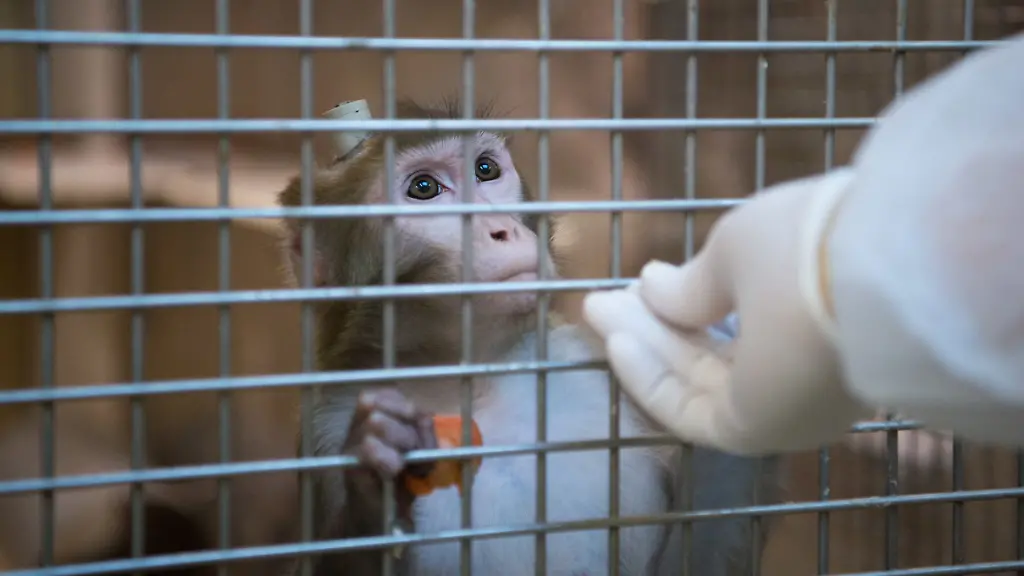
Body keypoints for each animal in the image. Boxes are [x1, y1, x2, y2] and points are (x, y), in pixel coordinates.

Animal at [276, 98, 780, 575]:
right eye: (424, 188)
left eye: (486, 170)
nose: (503, 230)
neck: (476, 375)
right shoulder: (328, 423)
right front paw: (377, 475)